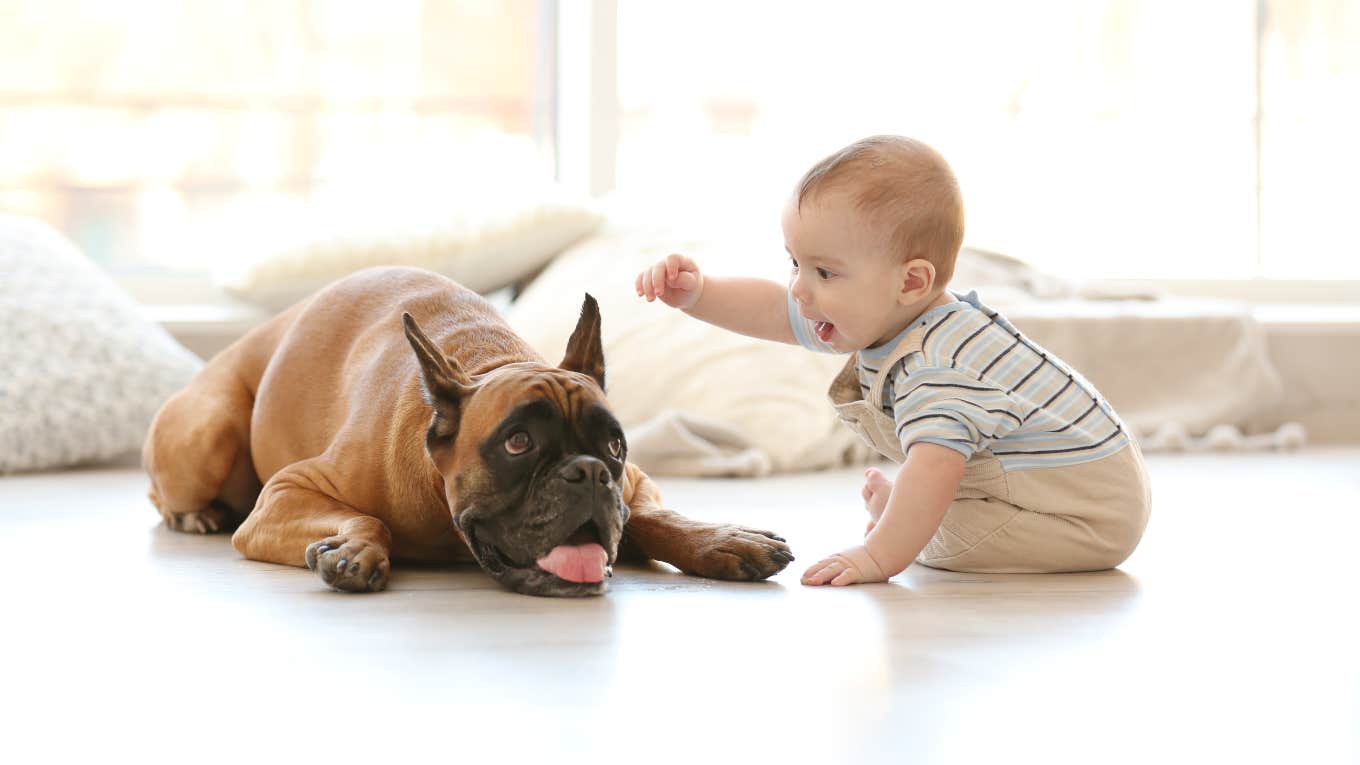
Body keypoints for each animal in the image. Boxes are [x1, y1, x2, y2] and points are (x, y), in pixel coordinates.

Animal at [142, 265, 794, 593]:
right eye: (517, 443)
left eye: (612, 444)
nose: (587, 473)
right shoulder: (284, 494)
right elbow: (366, 517)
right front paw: (355, 547)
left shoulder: (634, 481)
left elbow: (654, 516)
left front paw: (721, 539)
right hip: (208, 433)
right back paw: (194, 515)